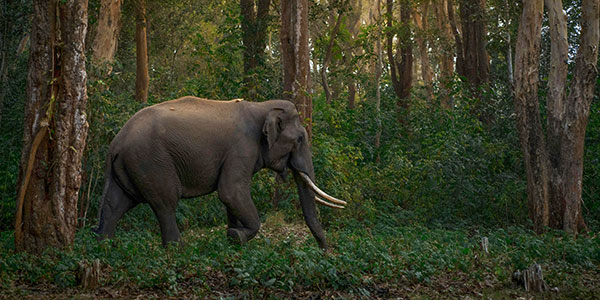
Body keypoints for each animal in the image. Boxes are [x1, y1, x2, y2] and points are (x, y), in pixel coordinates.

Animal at [94, 96, 346, 248]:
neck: (262, 106)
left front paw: (233, 236)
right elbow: (230, 192)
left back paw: (104, 246)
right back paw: (177, 250)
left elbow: (231, 198)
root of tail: (115, 143)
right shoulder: (242, 147)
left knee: (116, 204)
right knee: (165, 203)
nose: (325, 250)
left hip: (129, 167)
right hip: (151, 162)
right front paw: (236, 236)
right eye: (301, 139)